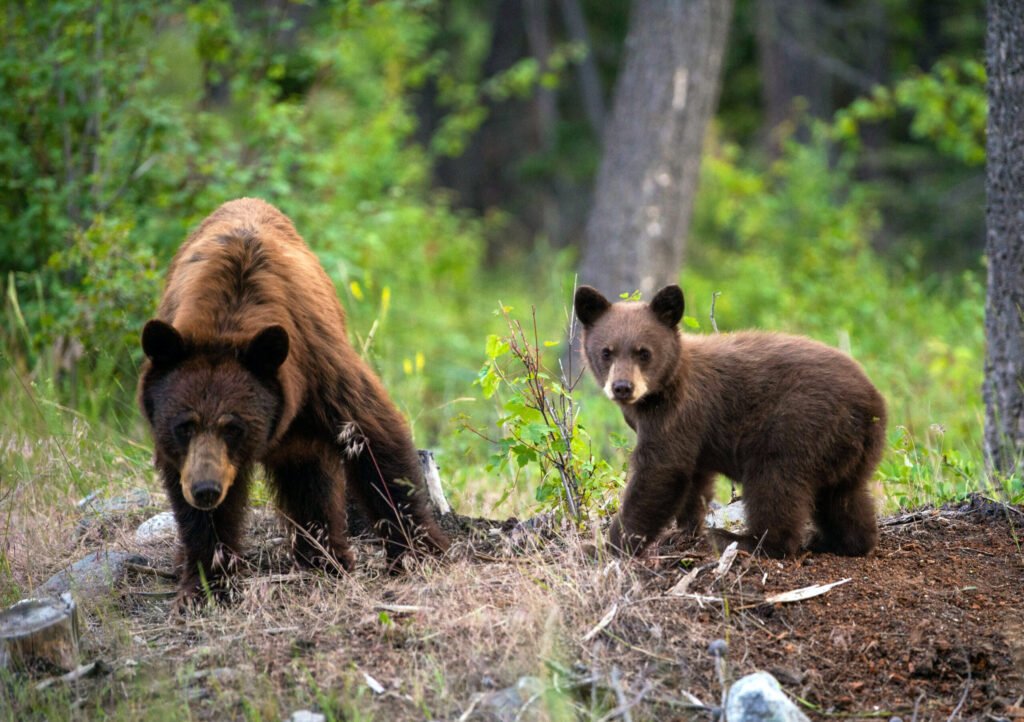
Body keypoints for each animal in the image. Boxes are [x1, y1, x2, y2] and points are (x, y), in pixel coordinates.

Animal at [139, 198, 449, 606]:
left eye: (233, 427)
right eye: (183, 426)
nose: (206, 490)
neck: (227, 320)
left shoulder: (318, 368)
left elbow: (373, 440)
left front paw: (420, 552)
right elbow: (195, 512)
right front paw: (208, 582)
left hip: (303, 432)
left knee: (310, 481)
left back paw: (325, 557)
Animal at [574, 284, 886, 558]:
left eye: (644, 352)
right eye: (606, 352)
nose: (622, 387)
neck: (662, 388)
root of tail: (871, 404)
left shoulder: (678, 413)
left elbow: (660, 472)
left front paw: (606, 547)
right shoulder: (691, 433)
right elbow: (694, 479)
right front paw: (684, 531)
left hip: (798, 425)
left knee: (775, 484)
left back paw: (745, 541)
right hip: (848, 450)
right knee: (843, 496)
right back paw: (840, 541)